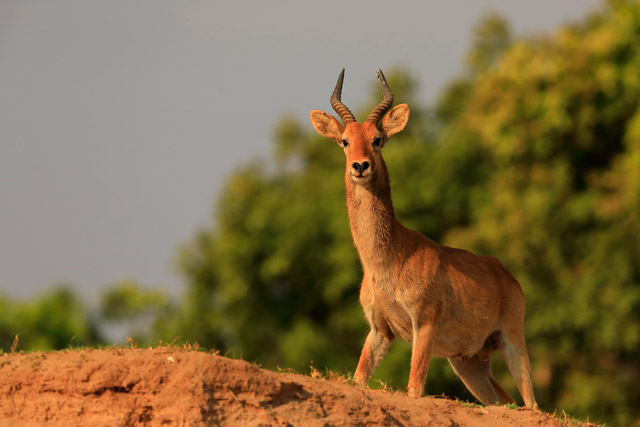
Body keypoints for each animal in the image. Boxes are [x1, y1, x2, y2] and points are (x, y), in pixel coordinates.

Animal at [309, 69, 538, 409]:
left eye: (377, 139)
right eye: (344, 141)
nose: (360, 166)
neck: (389, 260)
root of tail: (504, 273)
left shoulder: (424, 325)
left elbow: (414, 388)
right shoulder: (380, 330)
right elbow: (359, 379)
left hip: (512, 340)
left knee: (532, 402)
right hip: (469, 363)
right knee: (505, 401)